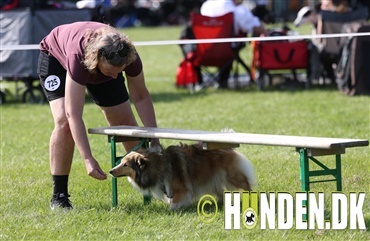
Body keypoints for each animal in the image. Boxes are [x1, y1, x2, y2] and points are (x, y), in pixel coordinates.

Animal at [108, 143, 256, 209]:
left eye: (126, 164)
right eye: (121, 162)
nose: (110, 171)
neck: (157, 166)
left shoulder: (181, 189)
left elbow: (174, 203)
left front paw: (173, 210)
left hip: (233, 177)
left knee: (247, 185)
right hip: (211, 179)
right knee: (219, 192)